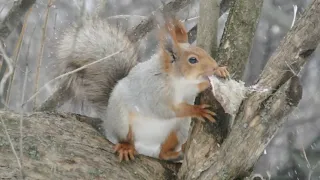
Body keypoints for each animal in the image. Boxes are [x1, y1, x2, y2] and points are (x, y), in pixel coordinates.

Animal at [45, 16, 230, 161]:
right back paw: (126, 147)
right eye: (192, 60)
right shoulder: (154, 92)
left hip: (177, 130)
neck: (179, 81)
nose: (213, 66)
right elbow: (166, 110)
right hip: (122, 122)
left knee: (162, 153)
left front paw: (219, 71)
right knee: (126, 139)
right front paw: (197, 110)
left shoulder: (190, 89)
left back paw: (176, 153)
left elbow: (200, 85)